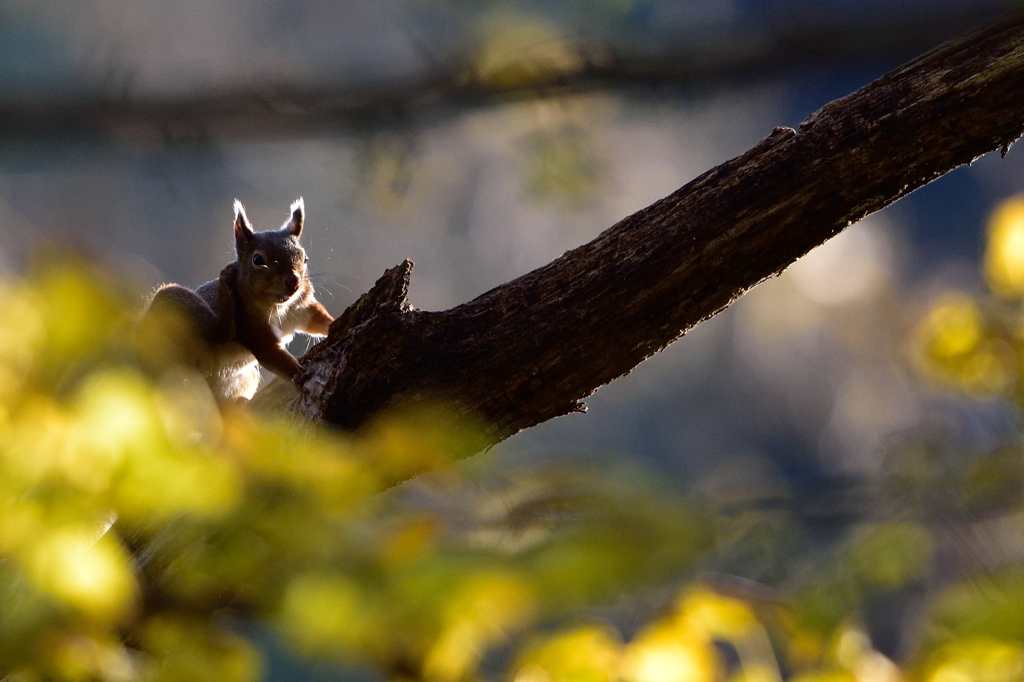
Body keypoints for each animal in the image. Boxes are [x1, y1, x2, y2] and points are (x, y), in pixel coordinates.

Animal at [138, 195, 331, 399]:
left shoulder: (302, 308)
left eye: (305, 258)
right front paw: (299, 374)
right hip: (171, 305)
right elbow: (272, 355)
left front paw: (331, 324)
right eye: (257, 259)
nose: (294, 282)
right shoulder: (253, 328)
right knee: (218, 332)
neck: (280, 305)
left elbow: (316, 318)